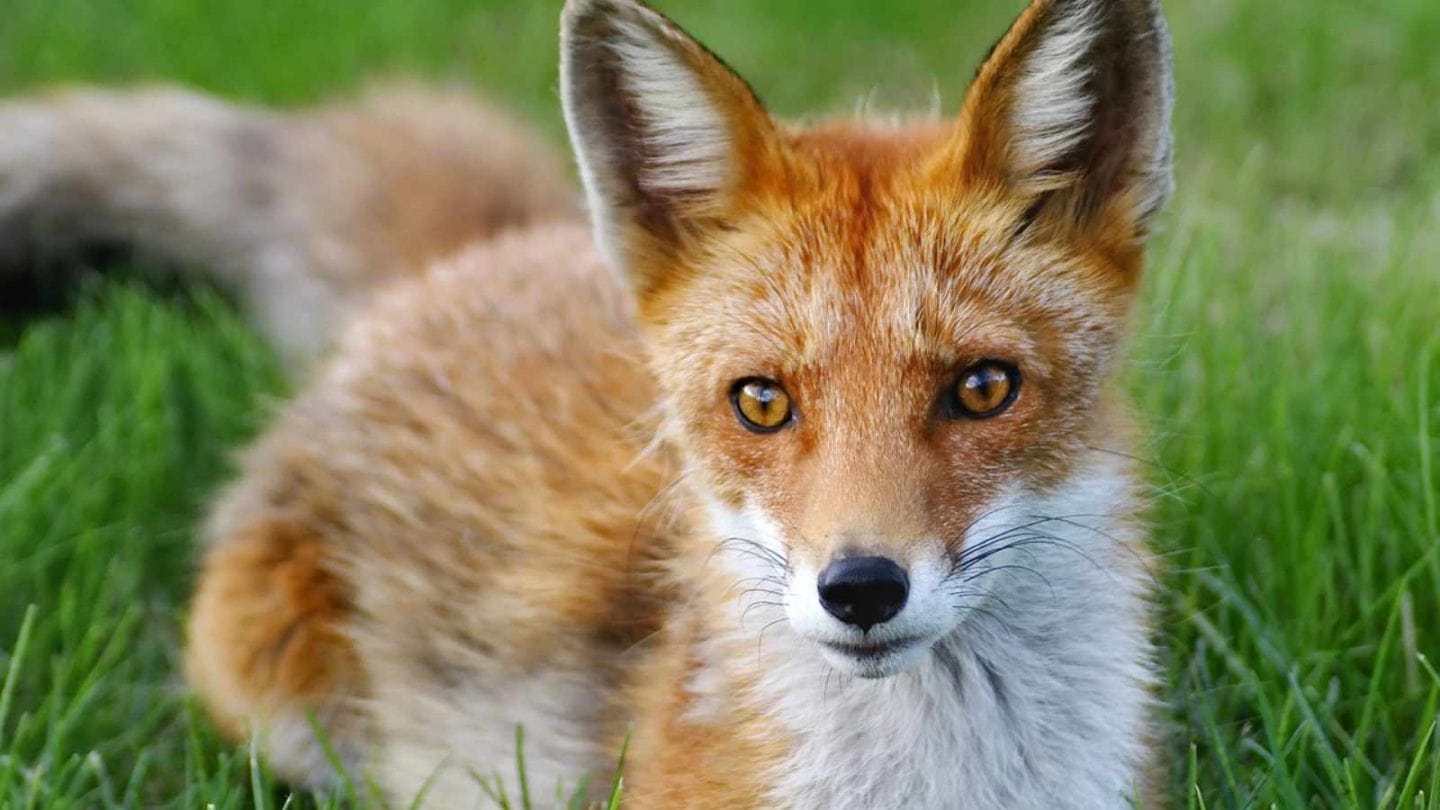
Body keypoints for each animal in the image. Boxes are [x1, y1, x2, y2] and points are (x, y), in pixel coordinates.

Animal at [0, 0, 1175, 806]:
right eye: (761, 403)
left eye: (982, 388)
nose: (861, 589)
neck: (936, 784)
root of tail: (476, 256)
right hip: (279, 699)